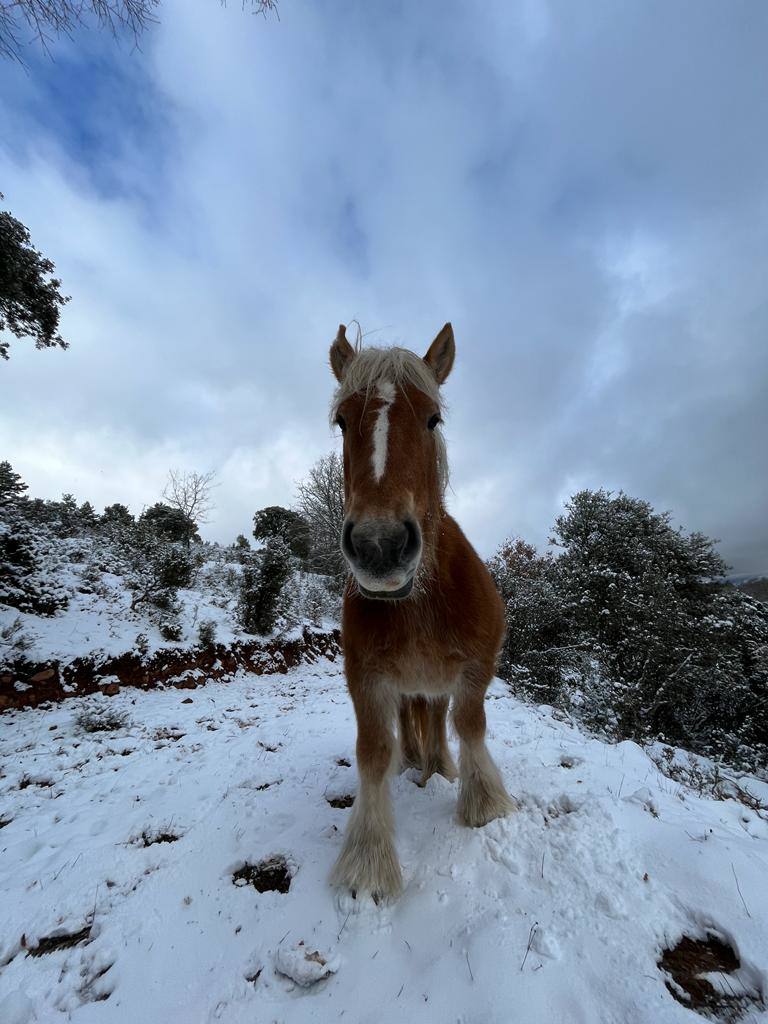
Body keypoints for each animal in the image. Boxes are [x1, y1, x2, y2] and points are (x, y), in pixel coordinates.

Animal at [325, 317, 514, 897]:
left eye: (433, 419)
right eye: (341, 421)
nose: (379, 546)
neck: (419, 603)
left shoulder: (476, 668)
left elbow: (469, 723)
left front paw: (482, 803)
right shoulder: (366, 680)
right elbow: (372, 752)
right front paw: (369, 859)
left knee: (436, 716)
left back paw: (439, 767)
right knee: (412, 722)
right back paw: (416, 762)